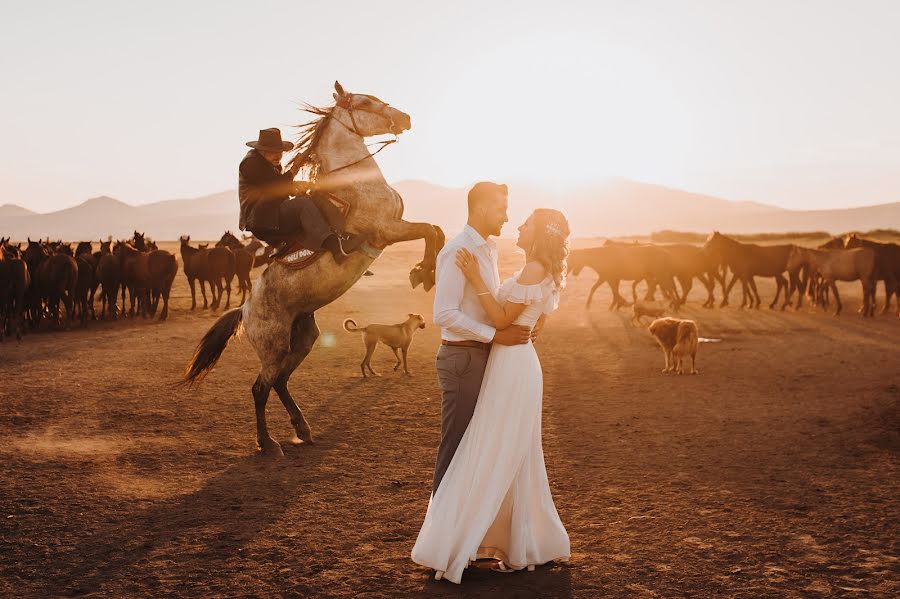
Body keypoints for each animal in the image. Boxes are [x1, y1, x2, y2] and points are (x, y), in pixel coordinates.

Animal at [184, 82, 446, 458]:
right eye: (366, 102)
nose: (405, 118)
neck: (352, 182)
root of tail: (244, 310)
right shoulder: (387, 230)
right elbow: (429, 230)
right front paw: (423, 272)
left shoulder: (395, 228)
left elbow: (436, 230)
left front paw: (425, 271)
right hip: (274, 346)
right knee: (260, 387)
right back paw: (268, 443)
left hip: (303, 338)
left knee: (280, 381)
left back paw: (302, 429)